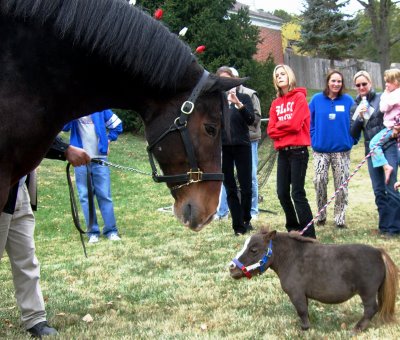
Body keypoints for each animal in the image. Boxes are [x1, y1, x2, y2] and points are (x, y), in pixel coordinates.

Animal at [230, 228, 398, 332]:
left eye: (253, 250)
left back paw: (357, 328)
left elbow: (301, 310)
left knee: (371, 309)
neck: (292, 258)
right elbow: (305, 310)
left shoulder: (296, 294)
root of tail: (379, 253)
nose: (231, 268)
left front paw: (304, 328)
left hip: (367, 292)